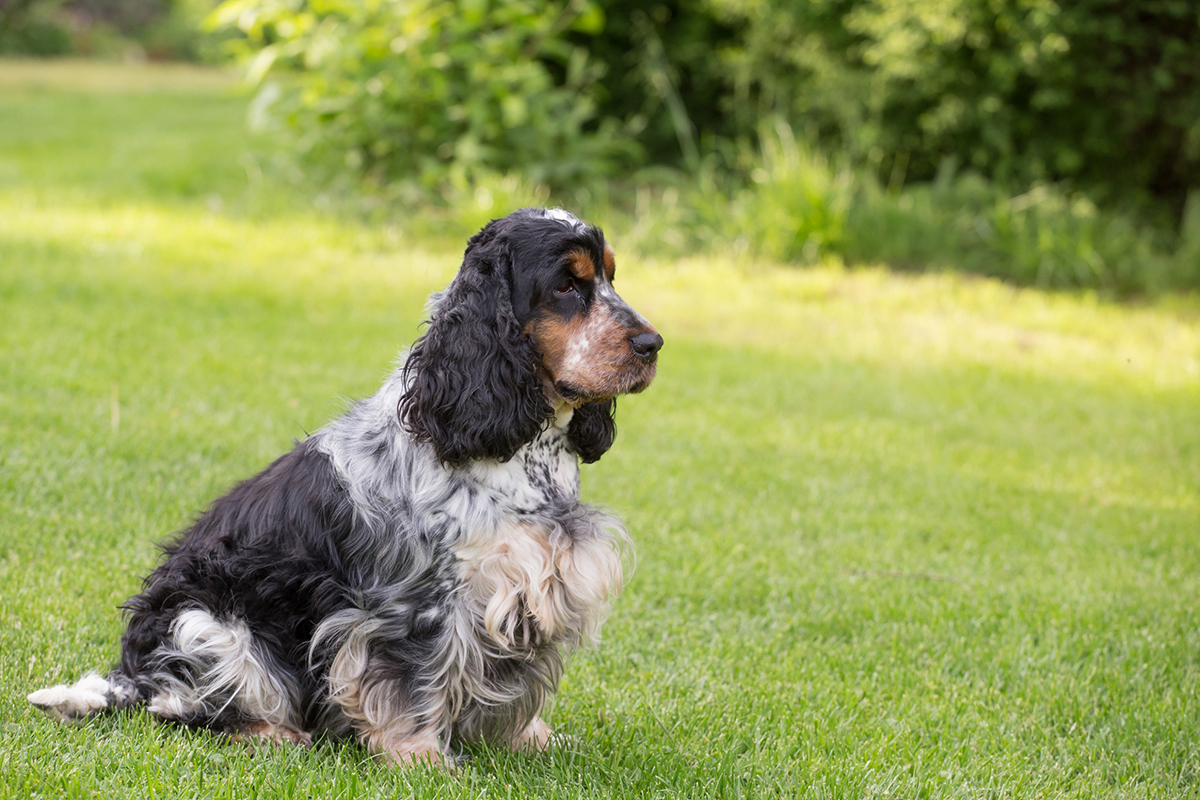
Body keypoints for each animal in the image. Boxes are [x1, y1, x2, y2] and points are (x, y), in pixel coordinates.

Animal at [28, 208, 662, 767]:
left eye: (610, 276)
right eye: (566, 285)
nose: (653, 344)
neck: (522, 454)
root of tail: (129, 673)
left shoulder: (531, 586)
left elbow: (515, 683)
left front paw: (532, 740)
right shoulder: (415, 604)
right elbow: (413, 682)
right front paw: (422, 760)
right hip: (207, 625)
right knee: (180, 707)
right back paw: (272, 735)